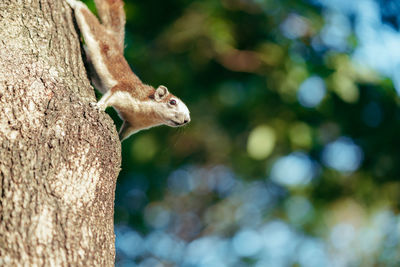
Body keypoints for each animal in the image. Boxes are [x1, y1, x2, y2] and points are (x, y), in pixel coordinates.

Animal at [65, 0, 191, 141]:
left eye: (189, 114)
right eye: (172, 102)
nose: (186, 120)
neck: (146, 115)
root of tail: (114, 39)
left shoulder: (132, 124)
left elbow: (123, 133)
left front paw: (119, 141)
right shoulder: (126, 90)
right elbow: (111, 95)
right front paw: (99, 106)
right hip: (99, 37)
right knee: (87, 17)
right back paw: (74, 3)